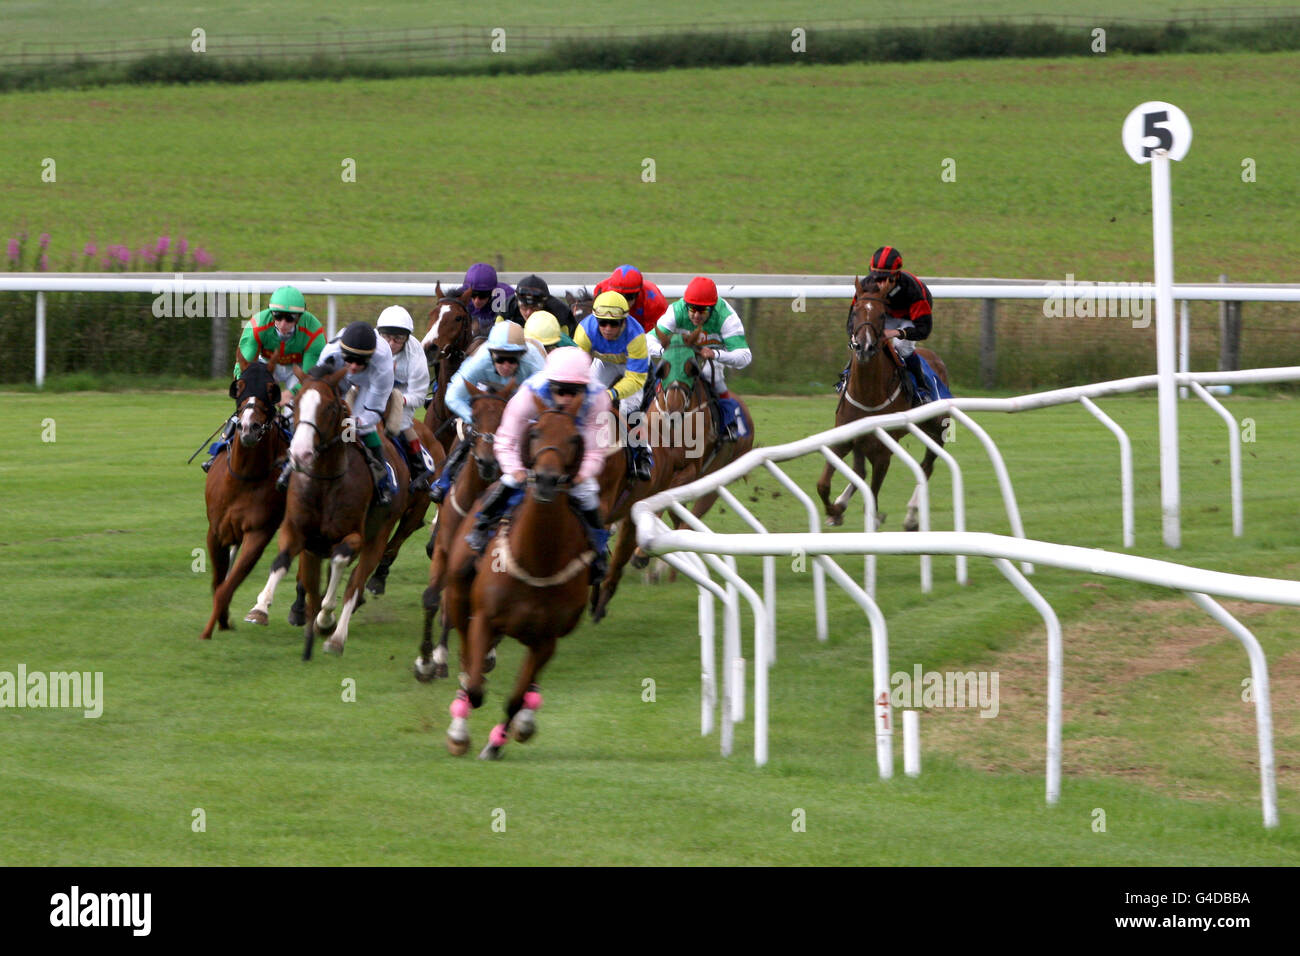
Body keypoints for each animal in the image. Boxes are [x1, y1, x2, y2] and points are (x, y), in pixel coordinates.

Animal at [198, 356, 288, 639]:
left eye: (271, 389)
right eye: (239, 386)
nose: (249, 427)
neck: (244, 480)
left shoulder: (258, 534)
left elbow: (227, 587)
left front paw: (212, 629)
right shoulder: (216, 532)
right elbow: (218, 582)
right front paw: (219, 623)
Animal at [241, 361, 408, 660]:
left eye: (330, 407)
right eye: (295, 403)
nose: (300, 454)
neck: (325, 482)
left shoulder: (354, 537)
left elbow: (341, 563)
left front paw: (326, 616)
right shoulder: (297, 530)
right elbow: (281, 561)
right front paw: (259, 609)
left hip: (379, 535)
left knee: (354, 583)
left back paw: (336, 635)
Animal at [416, 379, 517, 681]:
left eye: (504, 416)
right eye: (475, 418)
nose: (487, 461)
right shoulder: (444, 549)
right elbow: (432, 599)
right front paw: (427, 660)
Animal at [444, 408, 592, 759]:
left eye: (574, 439)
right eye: (534, 432)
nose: (547, 480)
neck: (536, 560)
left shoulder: (546, 639)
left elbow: (515, 698)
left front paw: (497, 742)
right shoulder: (484, 619)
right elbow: (474, 687)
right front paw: (461, 733)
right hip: (457, 590)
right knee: (466, 656)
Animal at [816, 277, 951, 530]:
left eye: (881, 315)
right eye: (855, 312)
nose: (864, 346)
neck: (868, 393)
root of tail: (936, 359)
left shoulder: (883, 451)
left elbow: (873, 494)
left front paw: (875, 517)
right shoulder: (846, 439)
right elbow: (823, 485)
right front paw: (835, 510)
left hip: (936, 429)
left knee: (926, 466)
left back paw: (911, 516)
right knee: (860, 471)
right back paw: (841, 503)